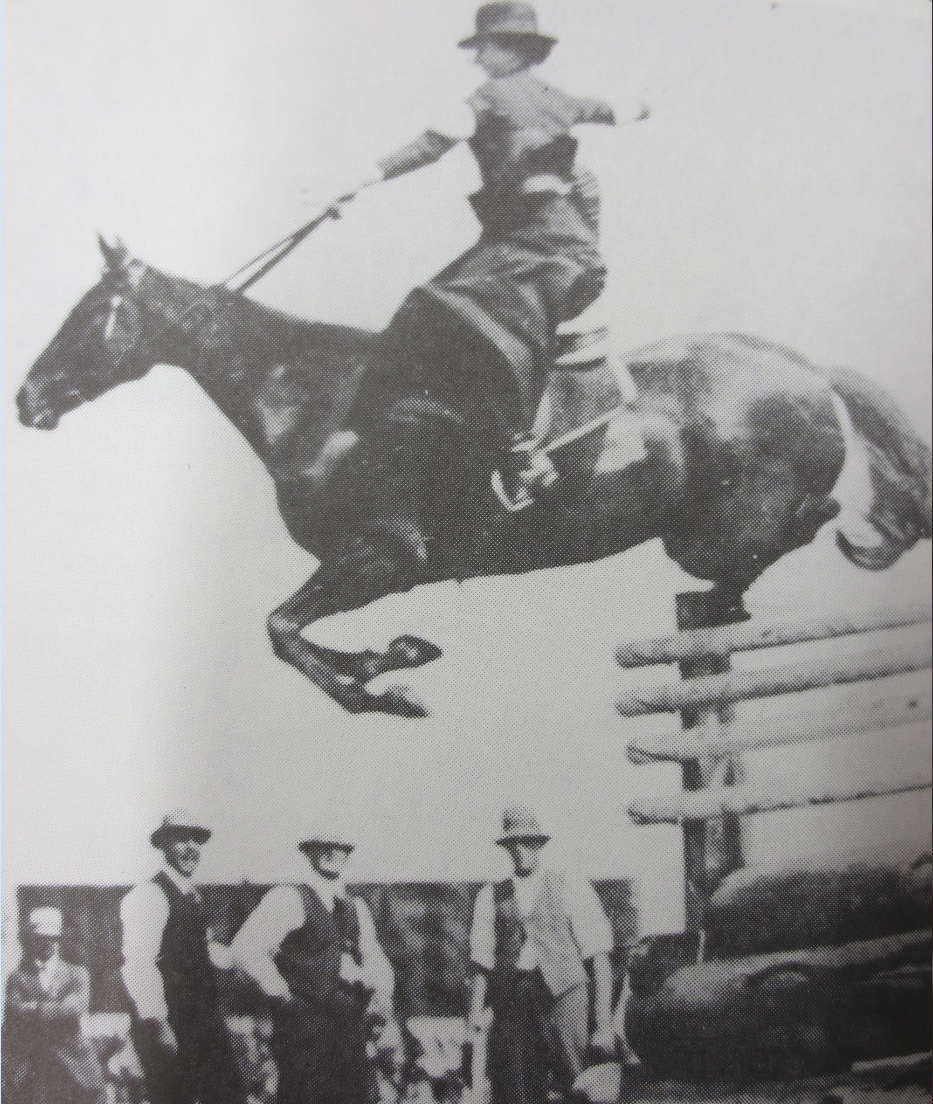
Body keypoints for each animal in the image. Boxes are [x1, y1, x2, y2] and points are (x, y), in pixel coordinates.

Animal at [16, 238, 931, 719]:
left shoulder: (382, 558)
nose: (27, 399)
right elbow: (291, 632)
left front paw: (384, 681)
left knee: (804, 522)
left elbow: (280, 629)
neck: (320, 400)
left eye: (89, 317)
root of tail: (805, 367)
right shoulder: (366, 567)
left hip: (714, 531)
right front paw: (388, 658)